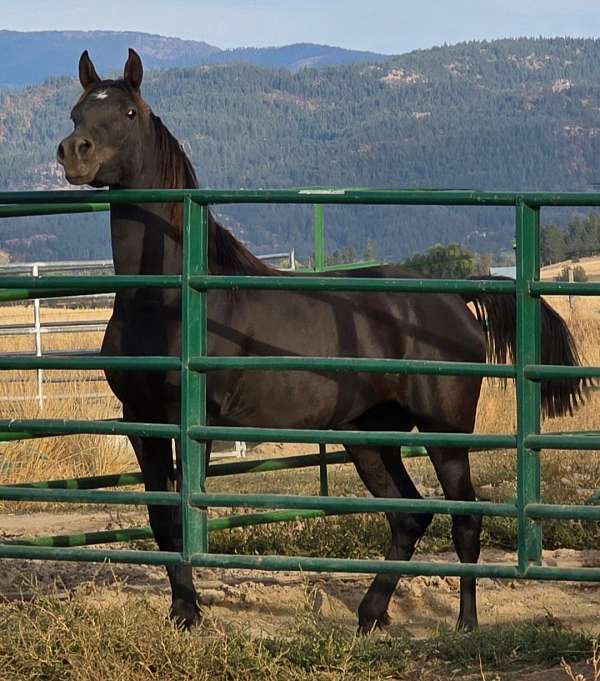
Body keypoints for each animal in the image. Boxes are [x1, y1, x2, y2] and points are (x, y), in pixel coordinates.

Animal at [57, 49, 584, 632]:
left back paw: (464, 624)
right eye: (78, 111)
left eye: (128, 113)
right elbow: (162, 519)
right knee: (410, 515)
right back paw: (371, 615)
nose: (74, 152)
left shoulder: (194, 421)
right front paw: (181, 611)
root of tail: (454, 299)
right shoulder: (141, 419)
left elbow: (188, 511)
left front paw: (191, 611)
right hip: (368, 434)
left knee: (463, 517)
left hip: (444, 432)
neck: (168, 300)